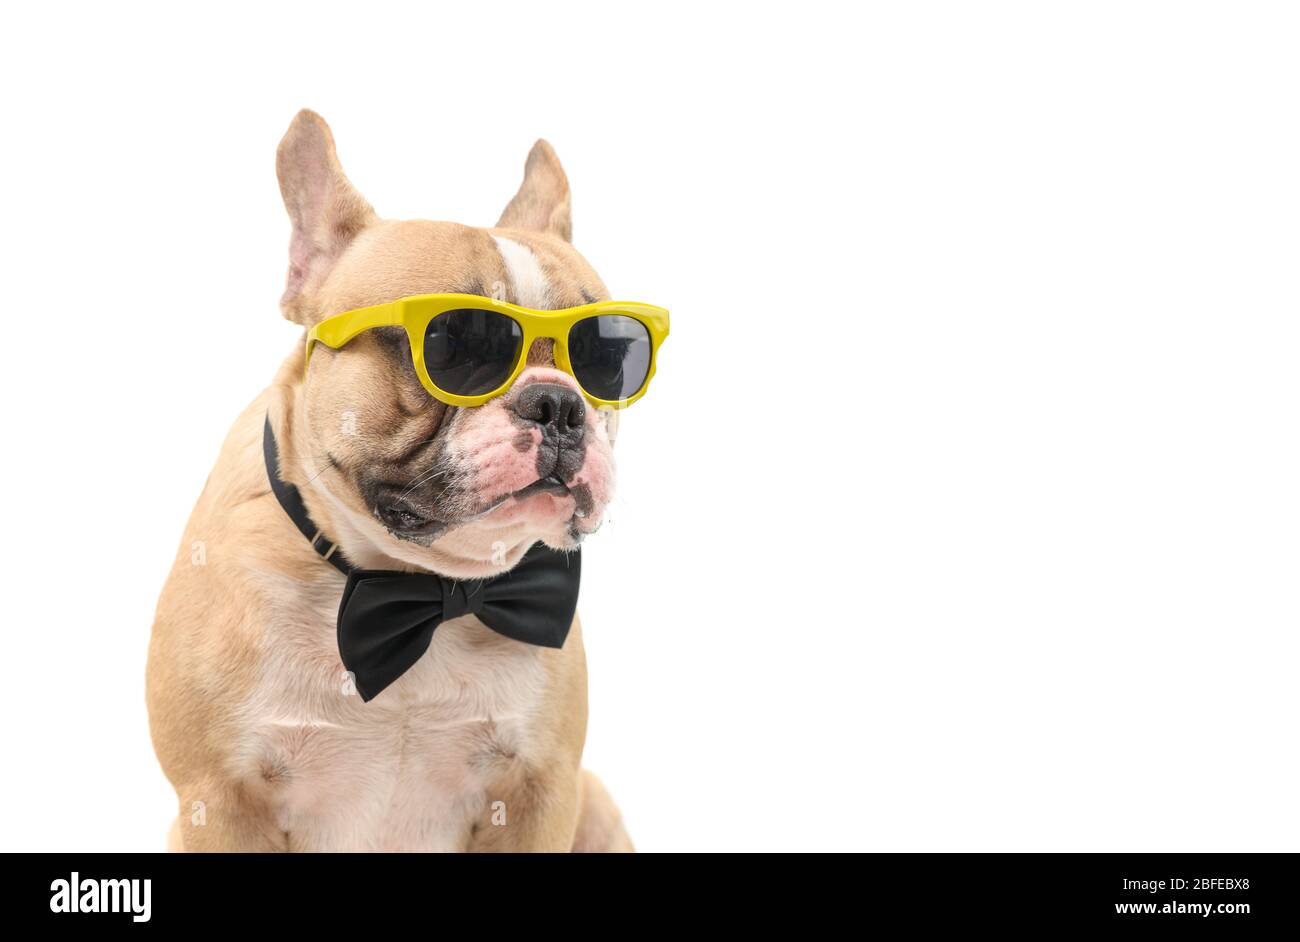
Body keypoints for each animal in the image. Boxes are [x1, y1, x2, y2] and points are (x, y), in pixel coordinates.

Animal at [147, 112, 639, 852]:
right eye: (456, 346)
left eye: (606, 358)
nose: (559, 404)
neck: (418, 590)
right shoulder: (220, 801)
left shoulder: (539, 791)